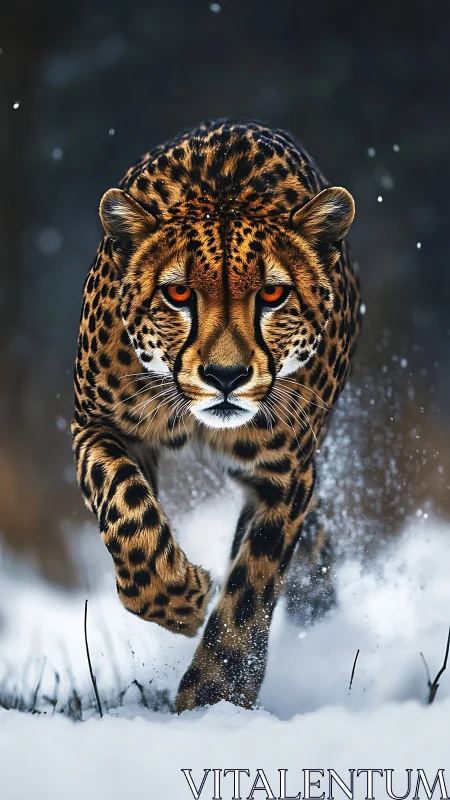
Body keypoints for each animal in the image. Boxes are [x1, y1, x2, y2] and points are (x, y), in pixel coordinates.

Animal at [71, 119, 361, 712]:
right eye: (178, 293)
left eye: (272, 294)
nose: (225, 376)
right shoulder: (96, 424)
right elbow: (128, 512)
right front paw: (180, 600)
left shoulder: (286, 474)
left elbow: (253, 584)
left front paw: (214, 697)